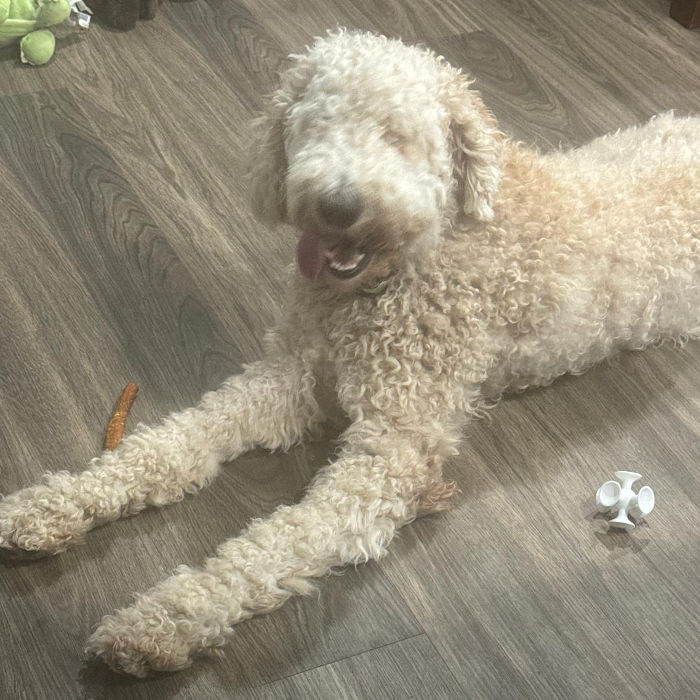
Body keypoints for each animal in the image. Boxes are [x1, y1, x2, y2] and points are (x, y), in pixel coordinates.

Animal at [4, 30, 700, 676]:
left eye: (398, 136)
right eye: (316, 124)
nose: (337, 205)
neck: (402, 268)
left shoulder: (390, 450)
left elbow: (279, 540)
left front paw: (167, 619)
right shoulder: (288, 377)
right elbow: (171, 443)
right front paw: (55, 504)